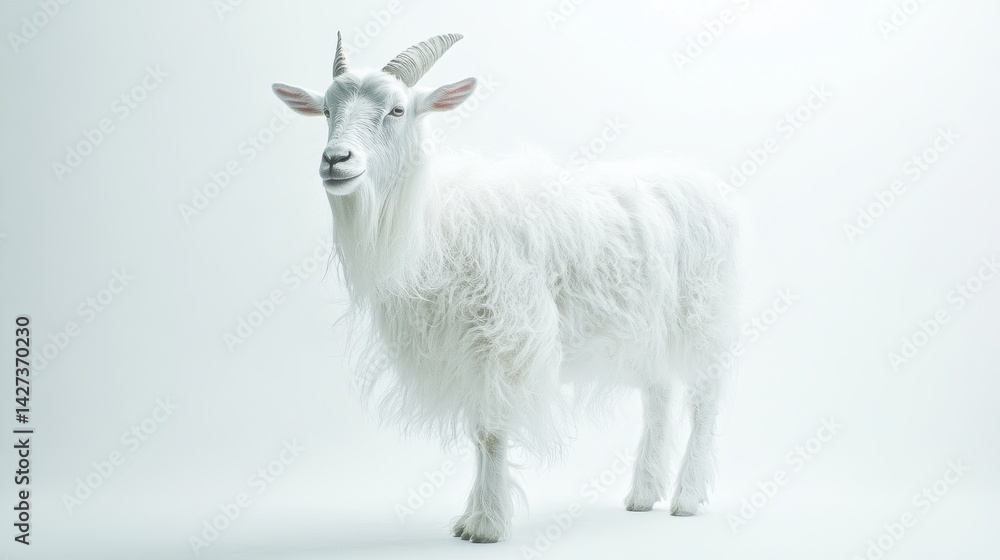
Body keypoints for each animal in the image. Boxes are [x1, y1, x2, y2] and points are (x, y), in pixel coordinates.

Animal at [272, 32, 740, 543]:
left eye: (397, 109)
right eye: (326, 110)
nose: (336, 160)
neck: (433, 222)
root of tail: (705, 183)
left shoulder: (504, 339)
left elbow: (492, 431)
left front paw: (488, 525)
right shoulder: (463, 348)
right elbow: (478, 432)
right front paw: (469, 520)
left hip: (704, 315)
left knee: (704, 401)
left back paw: (686, 499)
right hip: (647, 330)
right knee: (658, 396)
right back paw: (643, 494)